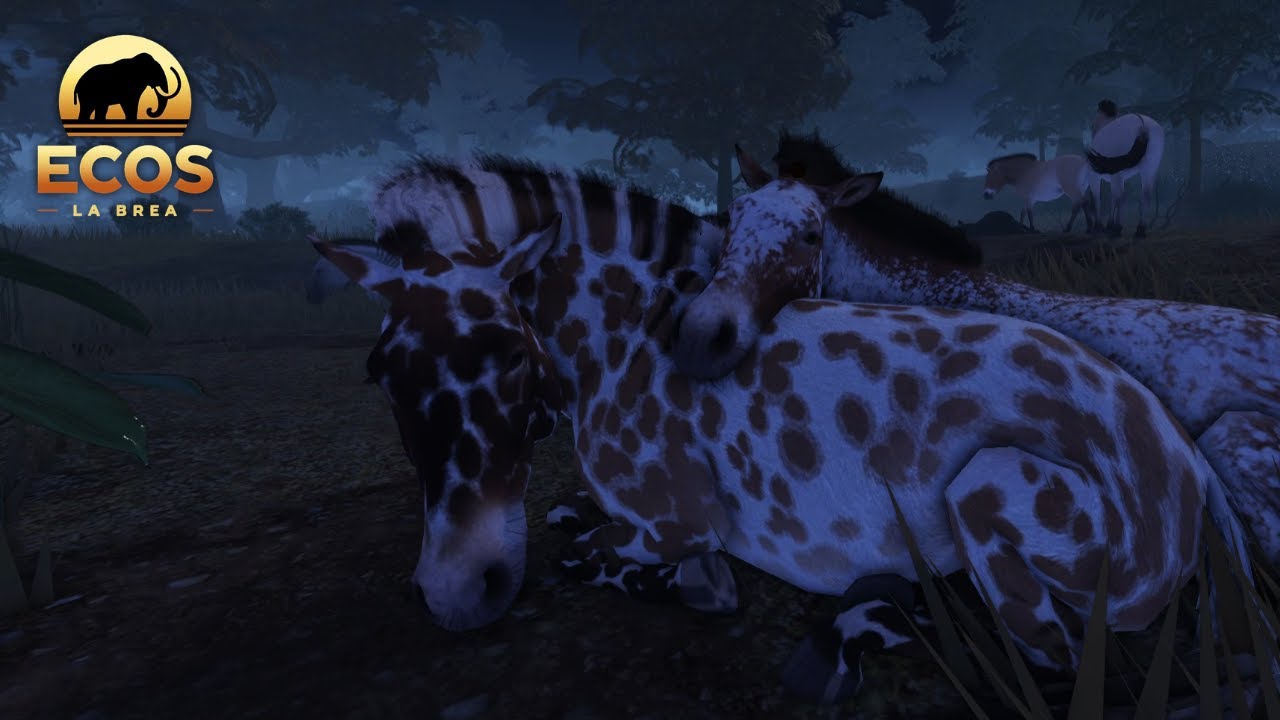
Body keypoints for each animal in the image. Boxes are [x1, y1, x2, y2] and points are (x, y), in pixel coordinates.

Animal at [312, 153, 1256, 706]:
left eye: (510, 352)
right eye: (380, 371)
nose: (454, 594)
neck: (624, 335)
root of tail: (1190, 477)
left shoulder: (674, 522)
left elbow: (589, 555)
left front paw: (700, 586)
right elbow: (566, 520)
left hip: (988, 493)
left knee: (1048, 661)